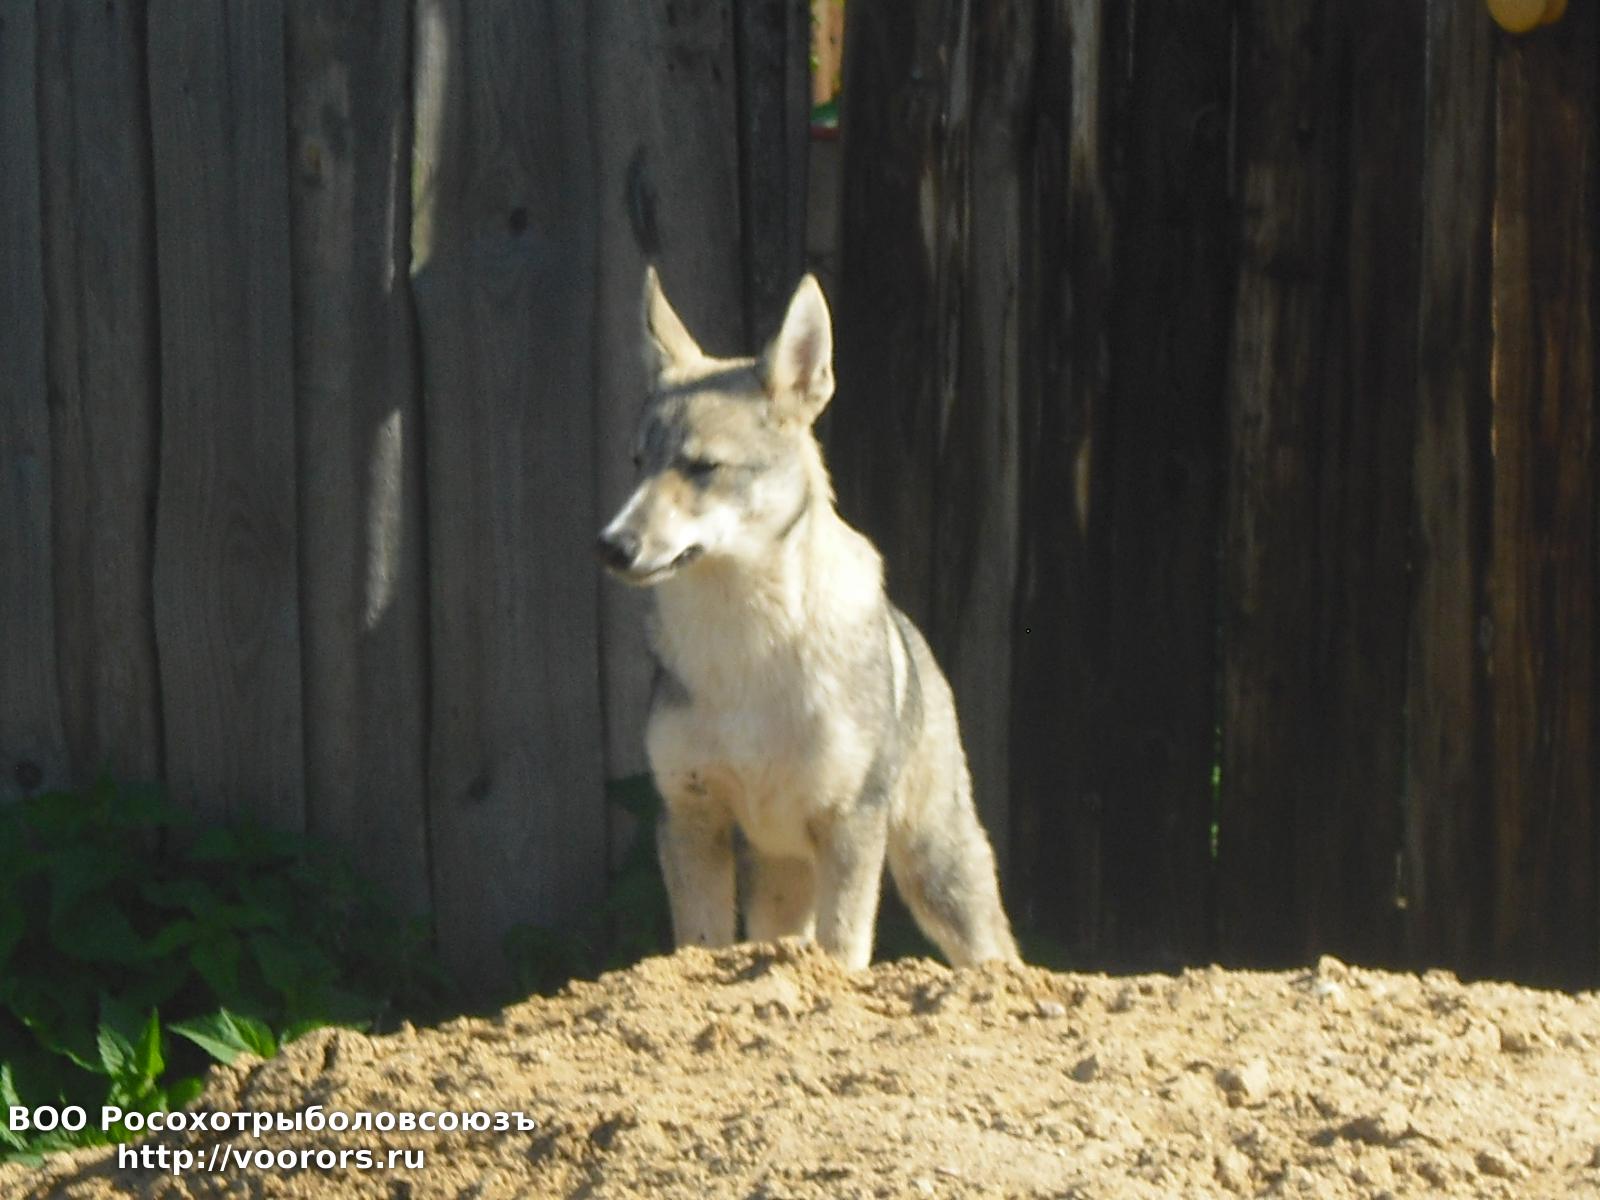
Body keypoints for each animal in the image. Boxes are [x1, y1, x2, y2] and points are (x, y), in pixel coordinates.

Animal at [596, 267, 1019, 970]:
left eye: (702, 468)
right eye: (637, 466)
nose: (611, 545)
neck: (744, 648)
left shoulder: (849, 821)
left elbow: (844, 953)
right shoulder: (690, 813)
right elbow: (699, 947)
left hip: (936, 867)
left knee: (996, 949)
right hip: (781, 876)